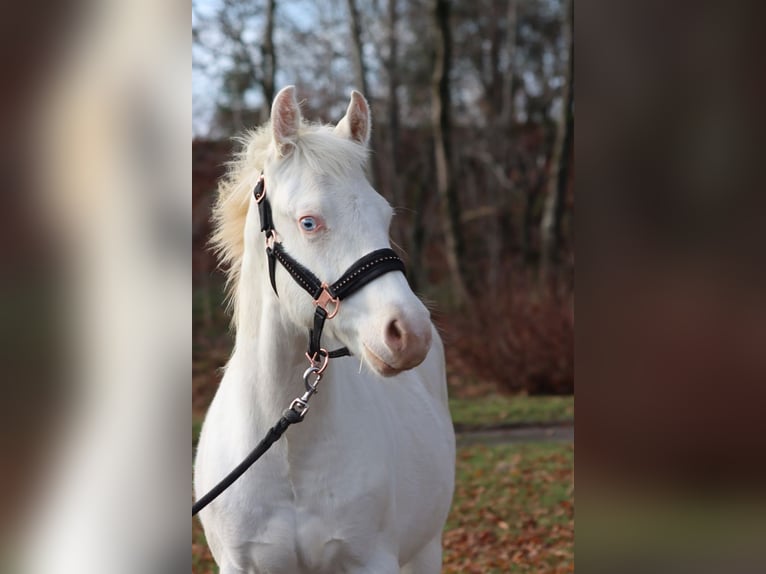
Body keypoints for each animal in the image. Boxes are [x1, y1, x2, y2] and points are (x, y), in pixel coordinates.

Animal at [194, 86, 455, 574]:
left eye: (384, 217)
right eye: (309, 222)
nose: (410, 333)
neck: (287, 453)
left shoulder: (371, 560)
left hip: (427, 550)